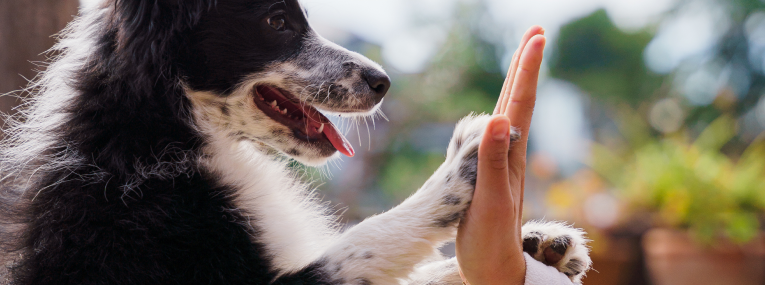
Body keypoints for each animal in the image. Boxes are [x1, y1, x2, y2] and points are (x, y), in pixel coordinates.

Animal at [0, 1, 592, 282]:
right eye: (277, 20)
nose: (384, 82)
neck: (160, 131)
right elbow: (370, 238)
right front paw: (464, 168)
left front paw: (539, 244)